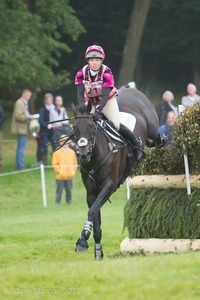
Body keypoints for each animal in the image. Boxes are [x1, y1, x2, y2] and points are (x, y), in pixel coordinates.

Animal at [71, 85, 160, 258]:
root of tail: (130, 89)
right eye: (75, 128)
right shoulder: (91, 192)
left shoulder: (109, 186)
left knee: (158, 138)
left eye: (91, 126)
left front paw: (83, 239)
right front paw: (97, 251)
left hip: (153, 127)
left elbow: (92, 211)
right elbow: (95, 216)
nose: (83, 155)